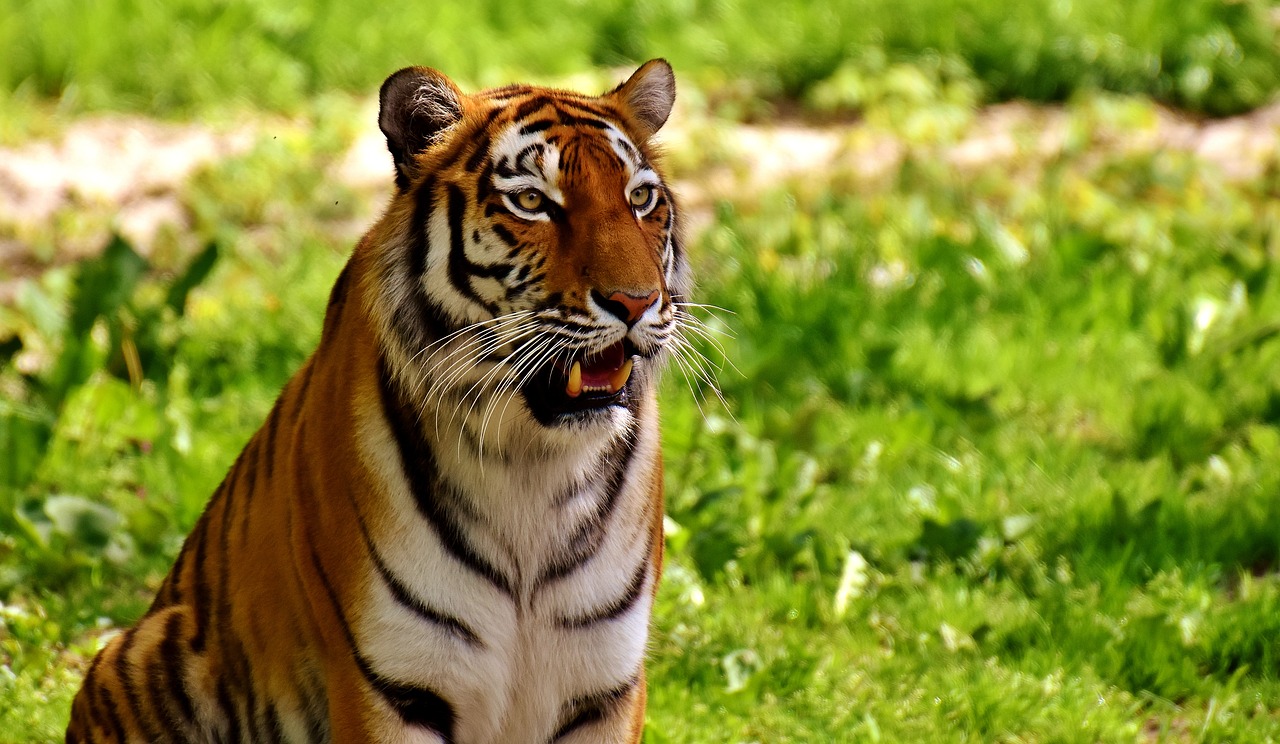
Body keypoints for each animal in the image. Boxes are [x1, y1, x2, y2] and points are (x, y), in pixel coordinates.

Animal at [63, 59, 691, 742]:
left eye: (640, 200)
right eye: (531, 202)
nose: (635, 302)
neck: (532, 461)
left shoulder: (606, 687)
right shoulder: (390, 684)